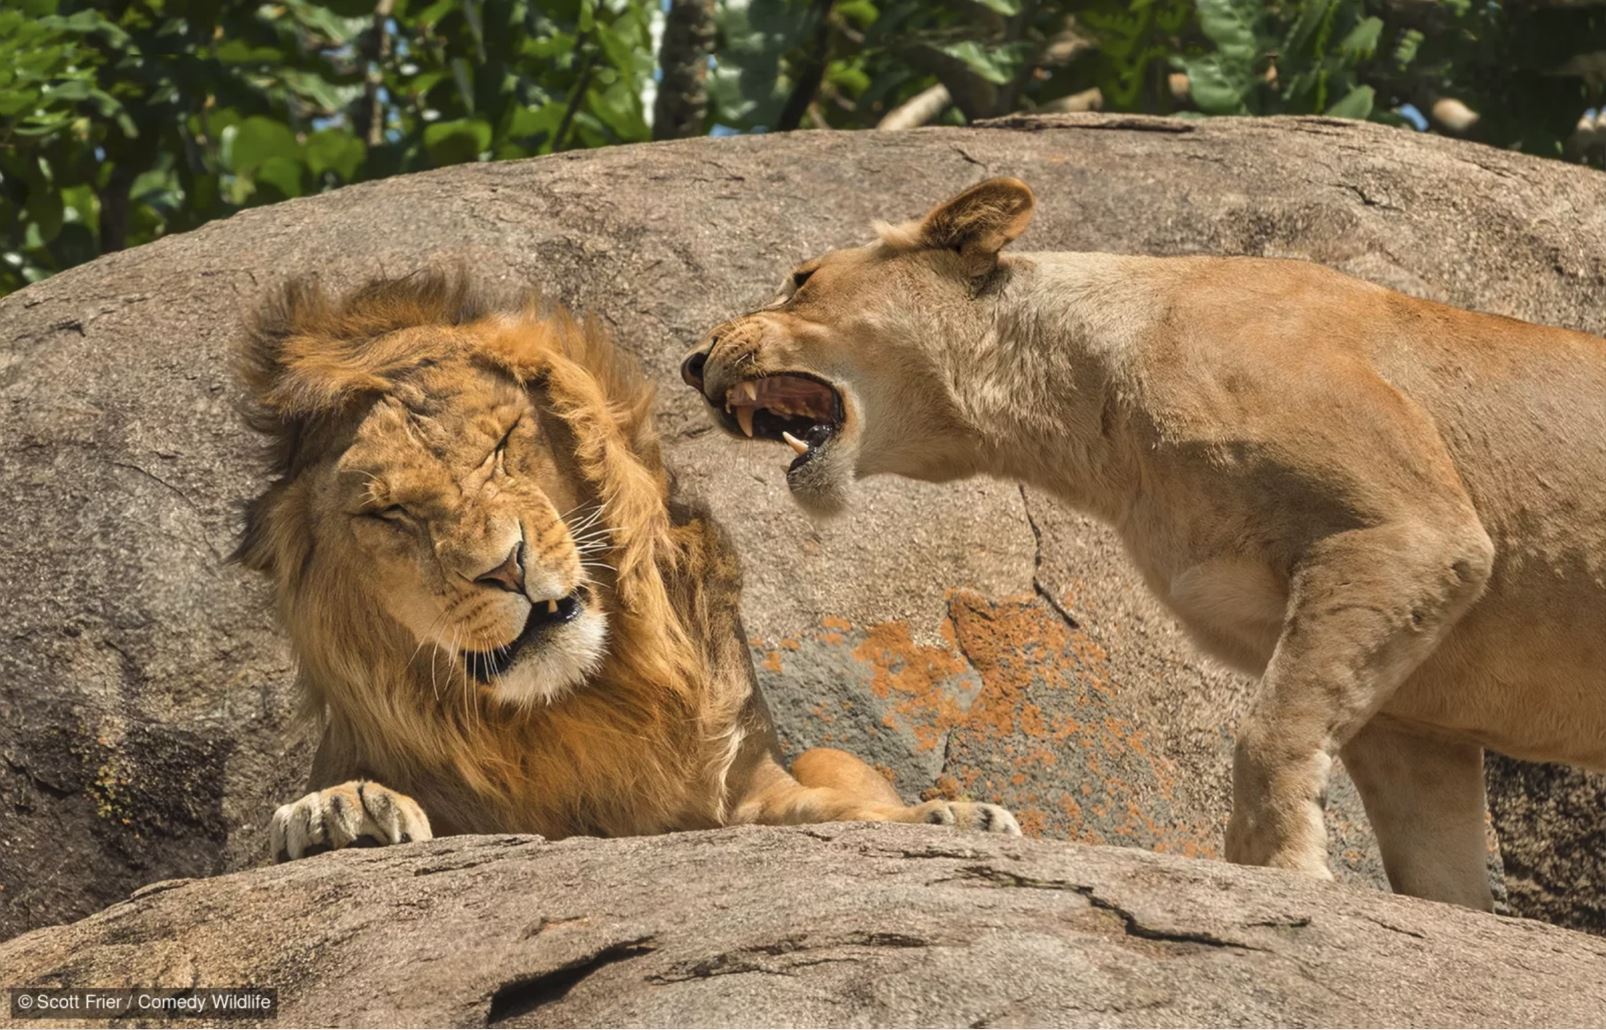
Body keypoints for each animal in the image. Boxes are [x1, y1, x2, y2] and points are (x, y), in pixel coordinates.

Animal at [234, 269, 1014, 854]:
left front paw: (948, 816)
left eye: (501, 445)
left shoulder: (744, 785)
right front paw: (339, 811)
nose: (505, 566)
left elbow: (831, 810)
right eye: (387, 513)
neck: (577, 707)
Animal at [680, 176, 1606, 906]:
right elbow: (1435, 866)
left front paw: (1280, 873)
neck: (1088, 418)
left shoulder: (1409, 531)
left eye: (801, 280)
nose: (692, 362)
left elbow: (1269, 732)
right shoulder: (1414, 713)